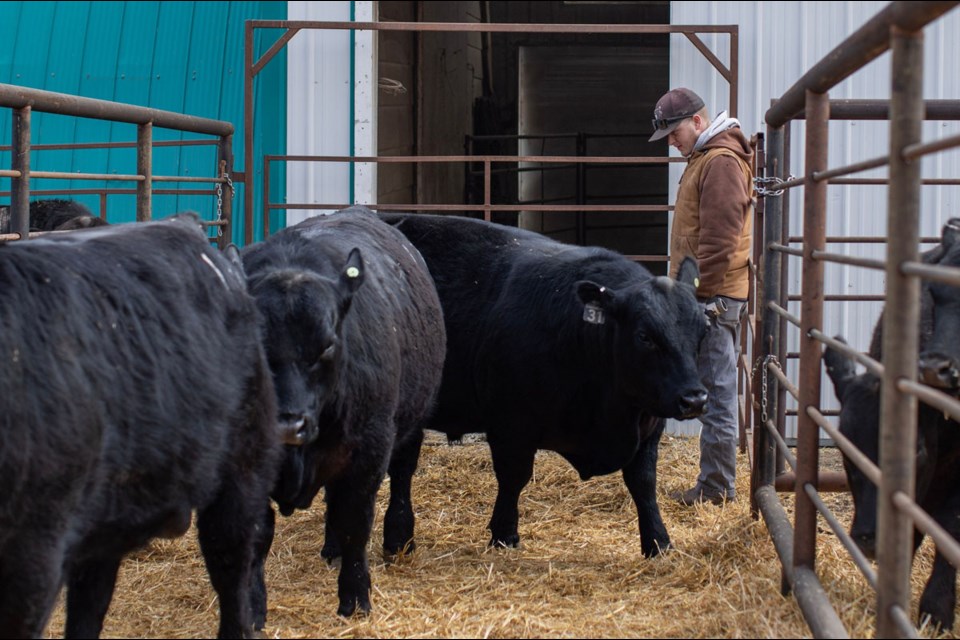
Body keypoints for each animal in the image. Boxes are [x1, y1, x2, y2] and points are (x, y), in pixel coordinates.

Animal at [244, 208, 446, 616]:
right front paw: (251, 610)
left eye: (327, 345)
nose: (287, 425)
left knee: (401, 478)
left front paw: (355, 599)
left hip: (410, 424)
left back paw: (398, 539)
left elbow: (355, 521)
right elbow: (258, 534)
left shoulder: (368, 451)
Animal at [380, 212, 704, 556]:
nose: (694, 399)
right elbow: (513, 477)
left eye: (704, 327)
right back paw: (398, 538)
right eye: (644, 336)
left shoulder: (649, 425)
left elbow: (643, 482)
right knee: (402, 466)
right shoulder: (511, 425)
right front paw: (505, 534)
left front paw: (658, 542)